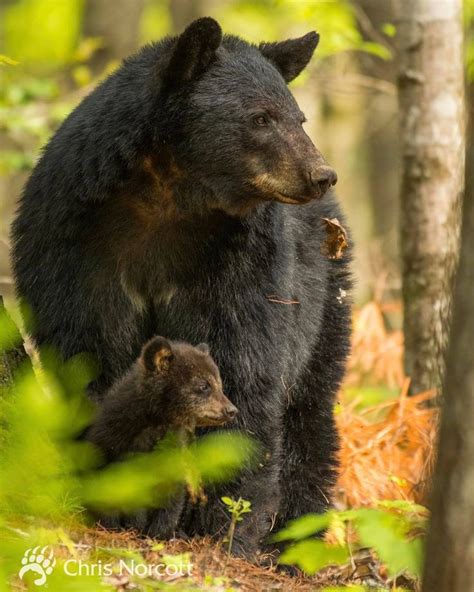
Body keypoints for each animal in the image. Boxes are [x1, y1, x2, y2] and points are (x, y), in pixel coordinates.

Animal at [11, 17, 352, 556]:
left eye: (298, 118)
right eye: (261, 118)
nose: (321, 174)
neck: (168, 197)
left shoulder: (238, 259)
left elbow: (244, 363)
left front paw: (226, 521)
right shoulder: (75, 246)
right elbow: (89, 354)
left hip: (323, 303)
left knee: (309, 414)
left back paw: (294, 544)